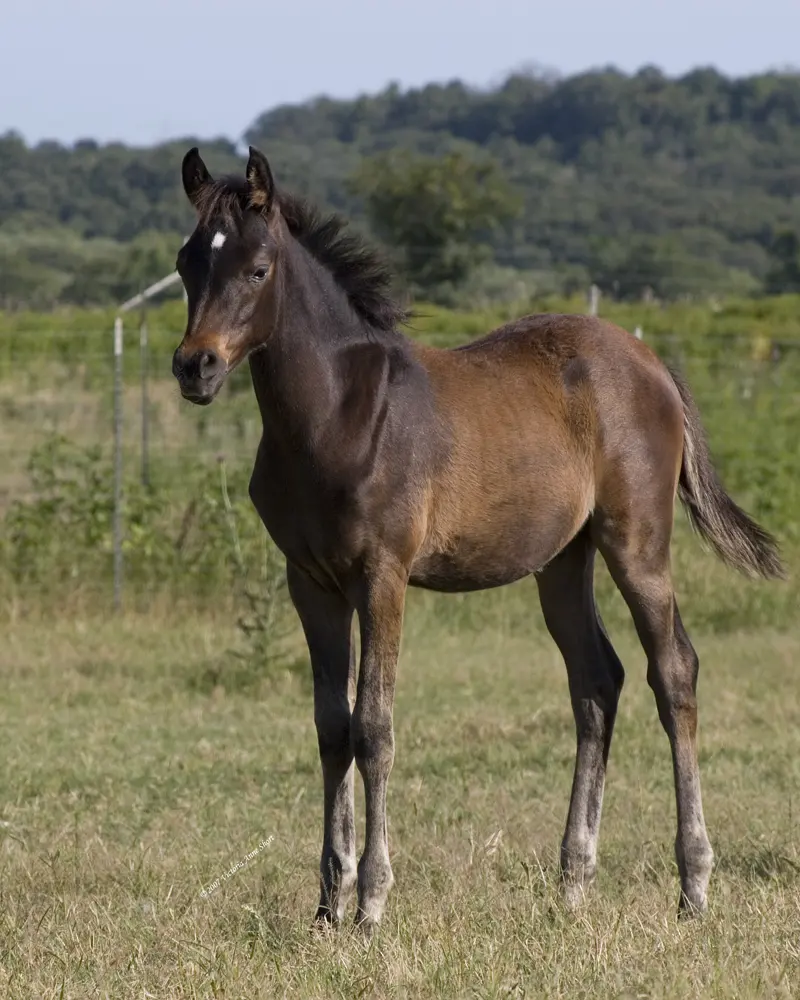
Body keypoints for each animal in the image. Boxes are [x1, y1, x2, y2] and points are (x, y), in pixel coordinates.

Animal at [171, 145, 783, 934]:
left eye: (256, 269)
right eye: (187, 263)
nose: (196, 366)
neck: (335, 413)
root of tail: (652, 366)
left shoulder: (382, 575)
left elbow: (373, 726)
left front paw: (371, 902)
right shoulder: (309, 581)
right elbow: (331, 727)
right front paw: (327, 905)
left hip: (636, 542)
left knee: (673, 671)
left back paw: (694, 887)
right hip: (562, 561)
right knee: (597, 681)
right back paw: (572, 884)